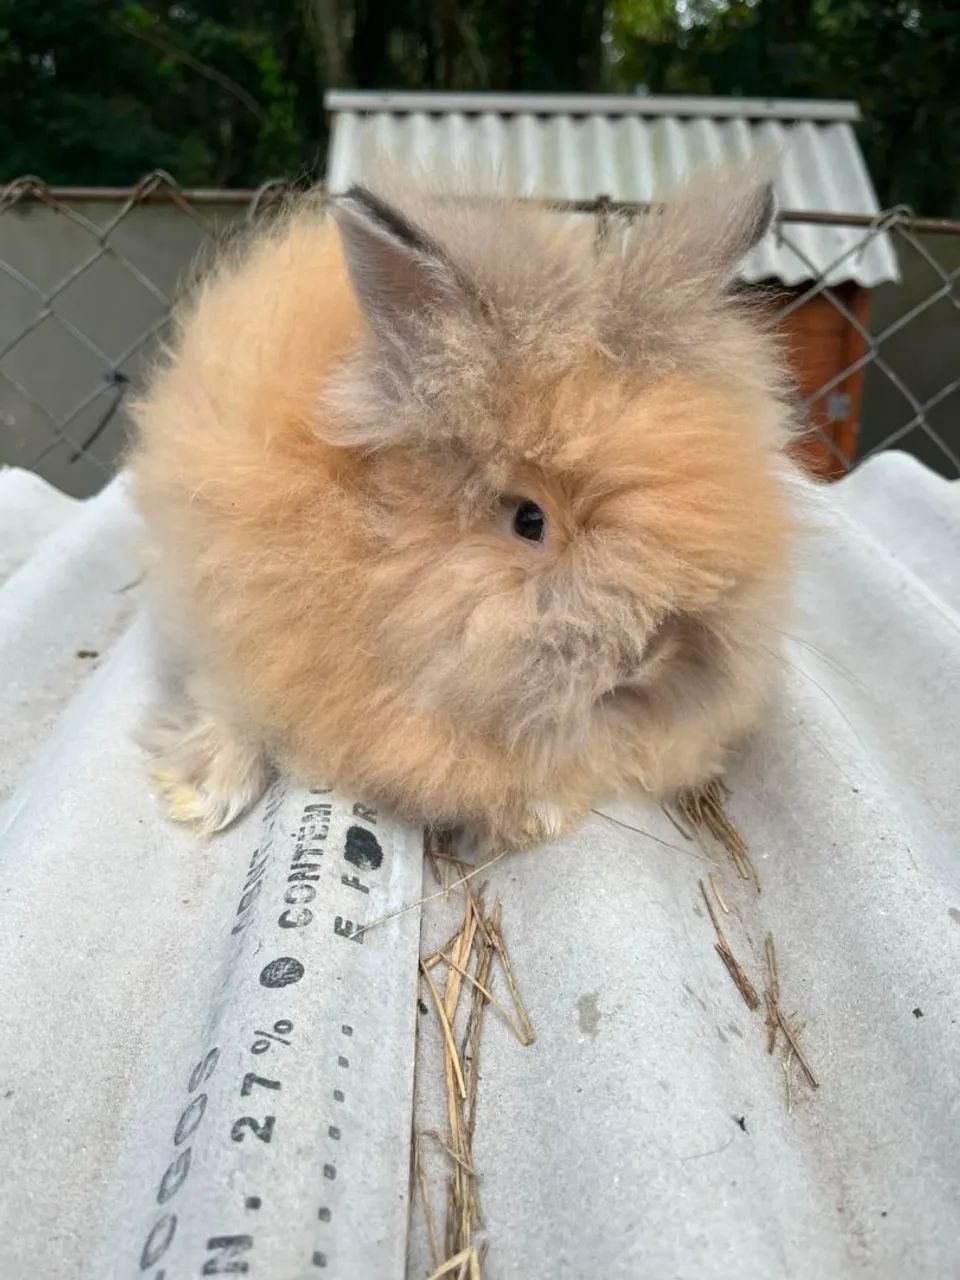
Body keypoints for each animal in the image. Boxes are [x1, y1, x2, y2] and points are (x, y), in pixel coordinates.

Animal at [130, 162, 797, 851]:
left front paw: (537, 813)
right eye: (529, 521)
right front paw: (200, 796)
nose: (652, 654)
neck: (363, 550)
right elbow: (229, 705)